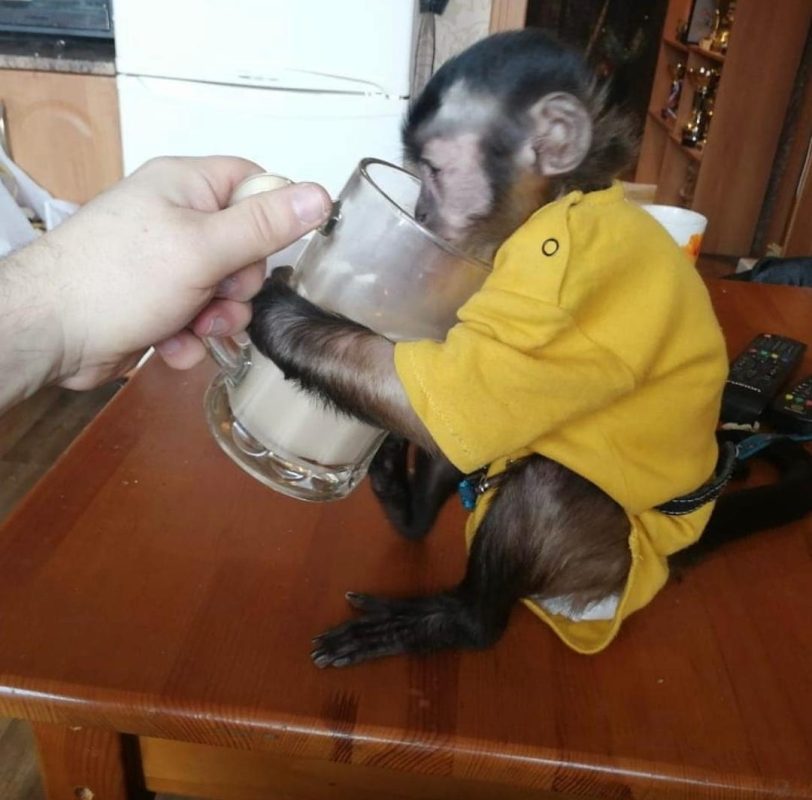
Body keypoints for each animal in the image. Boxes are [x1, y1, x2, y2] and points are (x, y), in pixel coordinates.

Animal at [247, 30, 812, 667]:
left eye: (435, 171)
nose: (419, 212)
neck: (563, 196)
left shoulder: (557, 271)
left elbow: (464, 400)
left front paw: (275, 313)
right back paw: (408, 512)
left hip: (608, 563)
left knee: (546, 474)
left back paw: (461, 622)